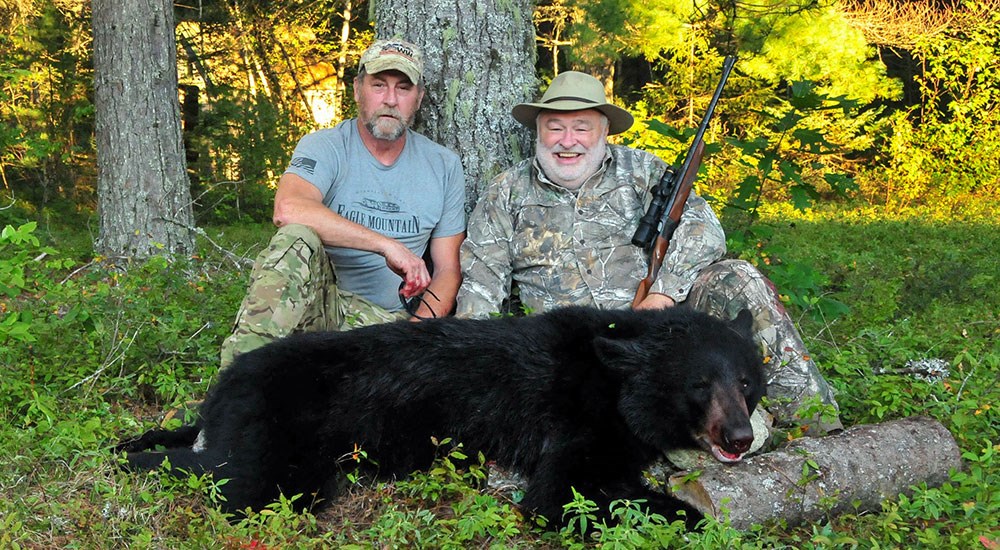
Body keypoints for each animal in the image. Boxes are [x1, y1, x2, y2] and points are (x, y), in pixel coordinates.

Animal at [117, 306, 764, 528]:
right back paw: (136, 455)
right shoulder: (575, 432)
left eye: (746, 382)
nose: (738, 437)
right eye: (699, 384)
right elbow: (562, 497)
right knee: (231, 477)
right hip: (284, 440)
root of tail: (229, 378)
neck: (614, 375)